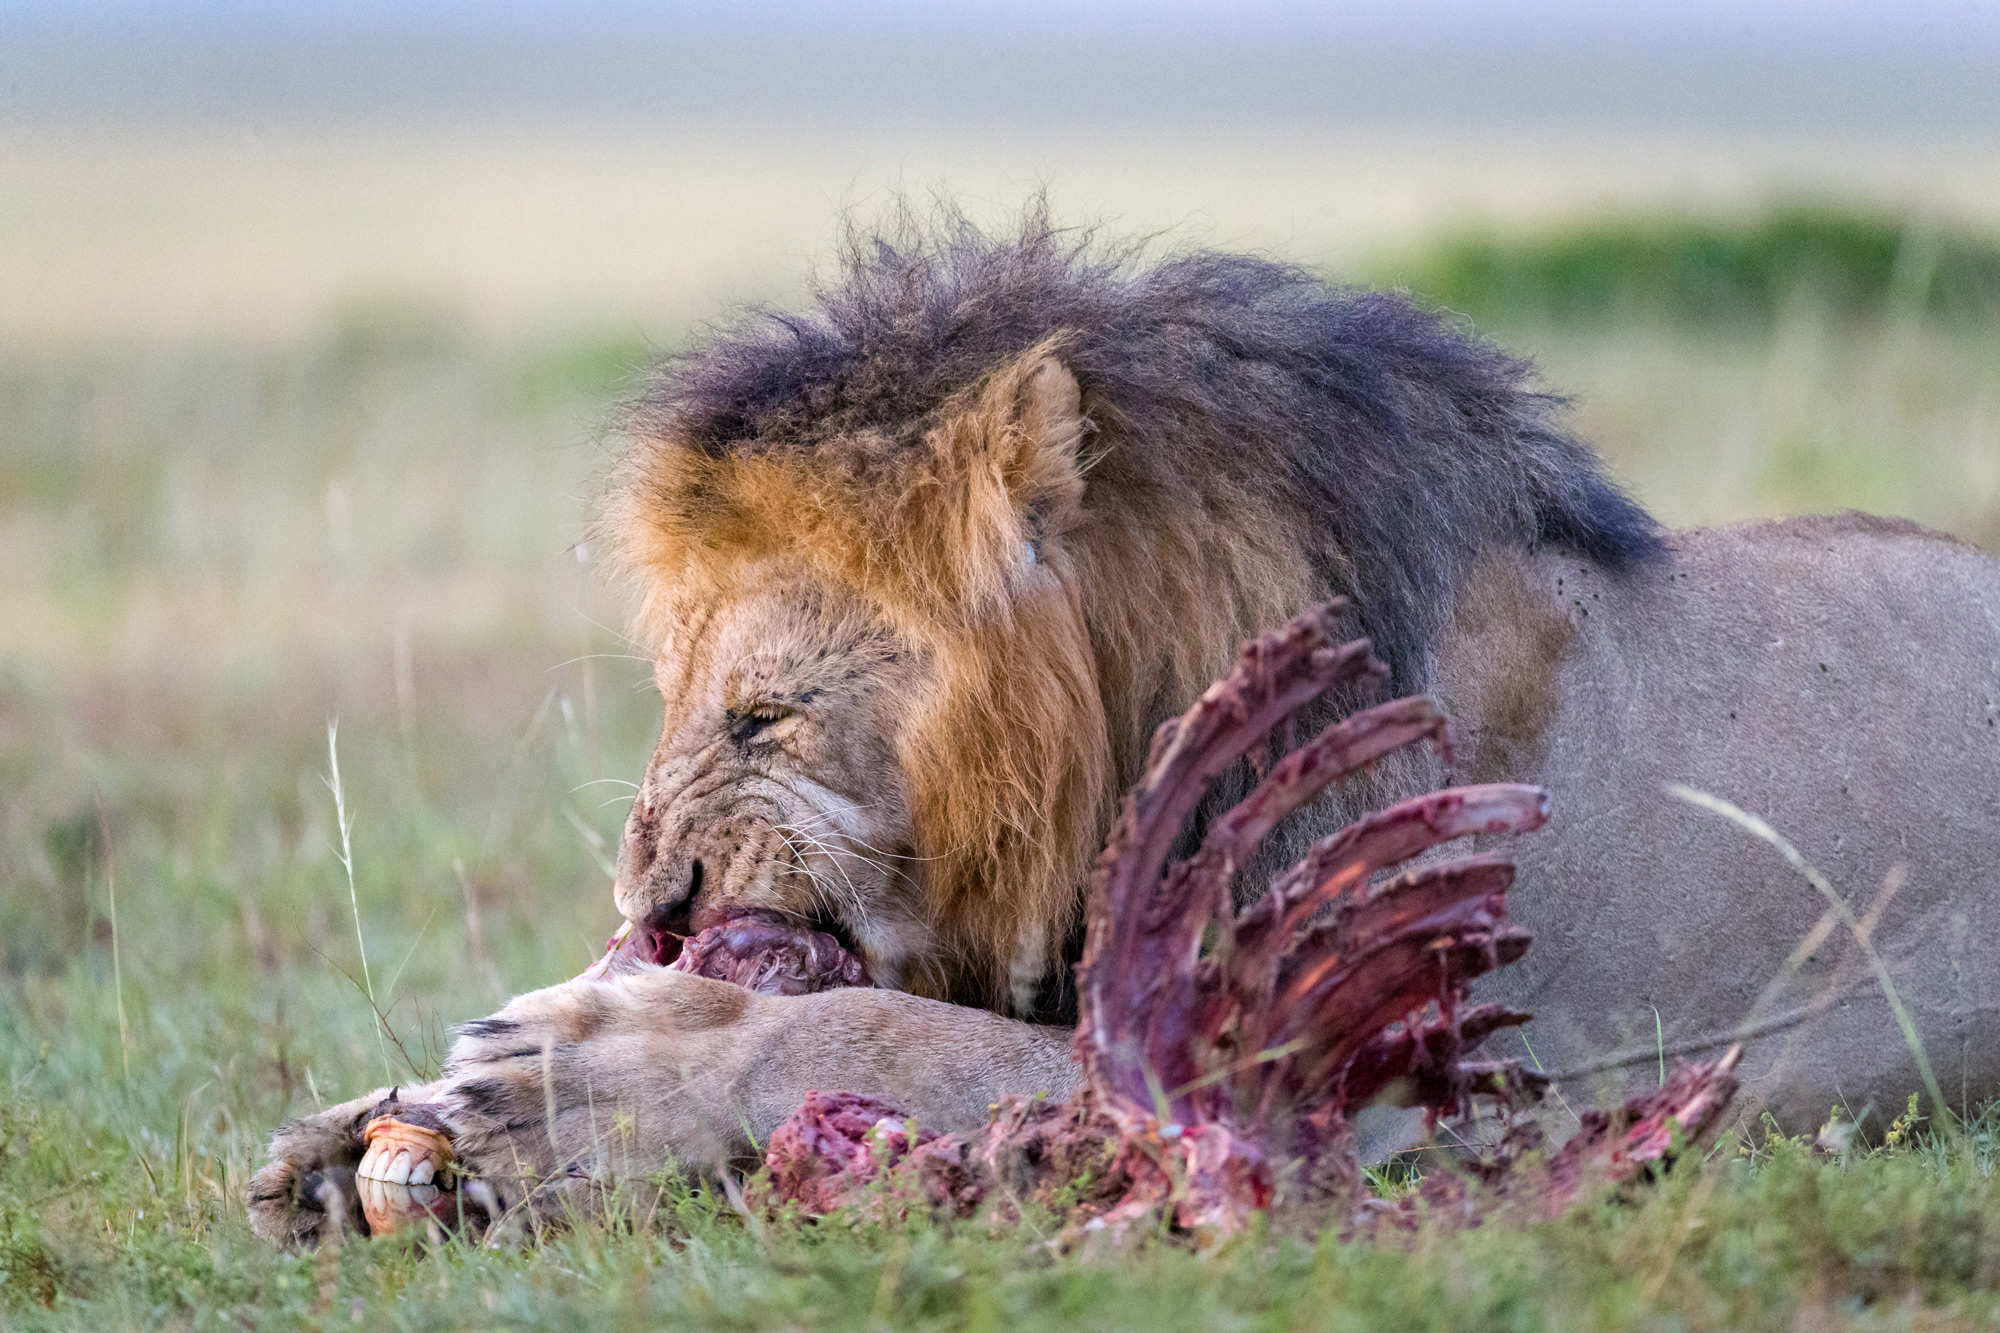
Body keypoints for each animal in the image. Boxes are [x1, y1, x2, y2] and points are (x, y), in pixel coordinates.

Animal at [246, 208, 2000, 1248]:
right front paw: (350, 1139)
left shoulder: (1325, 1087)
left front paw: (563, 1080)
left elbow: (896, 1036)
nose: (650, 900)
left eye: (762, 718)